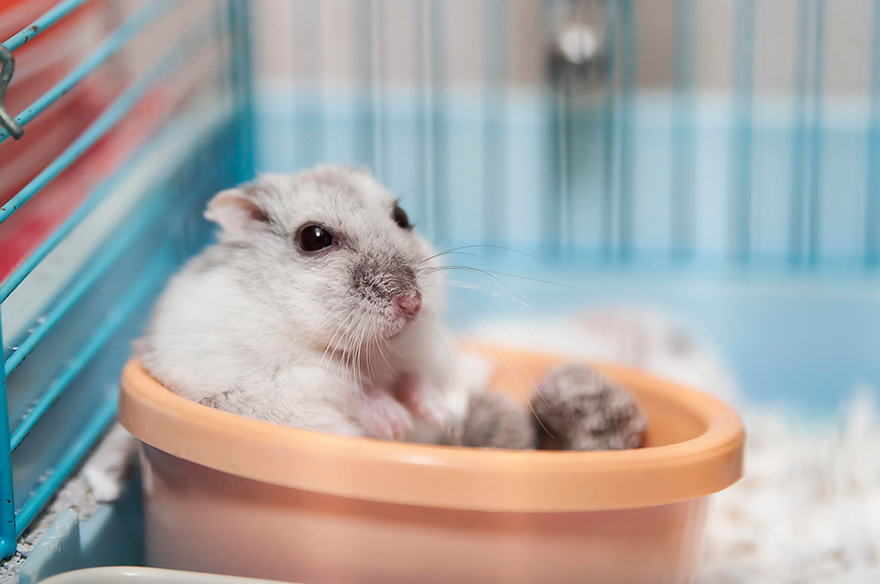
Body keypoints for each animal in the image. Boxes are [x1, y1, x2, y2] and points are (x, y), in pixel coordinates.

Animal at [136, 165, 476, 441]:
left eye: (402, 217)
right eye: (314, 237)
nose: (412, 303)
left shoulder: (419, 353)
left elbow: (414, 377)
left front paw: (441, 417)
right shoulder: (293, 379)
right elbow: (354, 393)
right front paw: (397, 424)